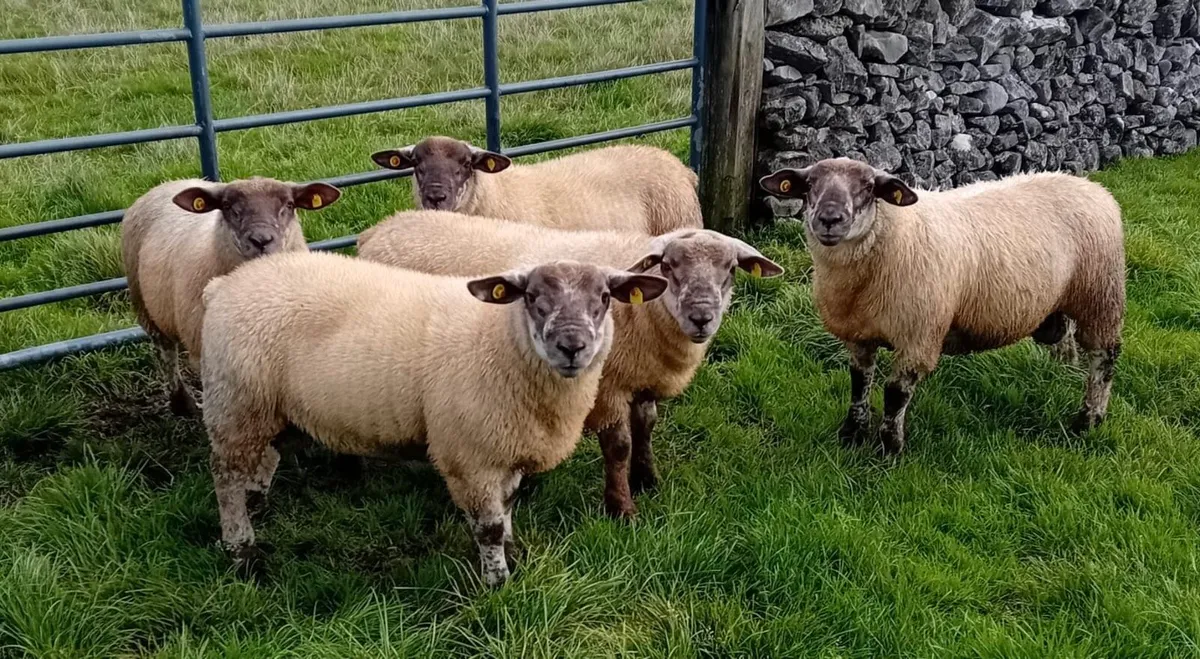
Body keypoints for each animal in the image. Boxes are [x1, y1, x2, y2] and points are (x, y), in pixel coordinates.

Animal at [121, 177, 340, 415]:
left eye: (289, 205)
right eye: (227, 206)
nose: (261, 240)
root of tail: (168, 183)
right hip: (145, 307)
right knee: (166, 353)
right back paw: (182, 403)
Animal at [199, 250, 668, 585]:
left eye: (604, 298)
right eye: (533, 298)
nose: (572, 346)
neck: (501, 343)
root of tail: (222, 285)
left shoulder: (504, 446)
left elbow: (508, 505)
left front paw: (514, 553)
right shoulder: (470, 456)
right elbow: (488, 527)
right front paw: (498, 582)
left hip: (268, 410)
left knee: (264, 459)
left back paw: (256, 505)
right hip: (235, 404)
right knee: (225, 478)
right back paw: (240, 548)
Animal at [357, 211, 784, 517]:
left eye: (730, 269)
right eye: (668, 266)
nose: (701, 318)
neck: (644, 311)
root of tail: (377, 230)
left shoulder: (640, 376)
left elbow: (646, 427)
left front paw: (647, 479)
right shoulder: (607, 387)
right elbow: (619, 446)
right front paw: (621, 507)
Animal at [759, 158, 1125, 454]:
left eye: (868, 187)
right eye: (809, 185)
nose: (829, 218)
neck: (890, 235)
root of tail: (1090, 185)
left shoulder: (918, 337)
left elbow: (895, 394)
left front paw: (889, 447)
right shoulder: (859, 335)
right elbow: (859, 383)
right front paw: (852, 434)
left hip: (1101, 296)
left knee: (1104, 358)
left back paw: (1089, 419)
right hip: (1060, 302)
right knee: (1064, 337)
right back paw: (1061, 369)